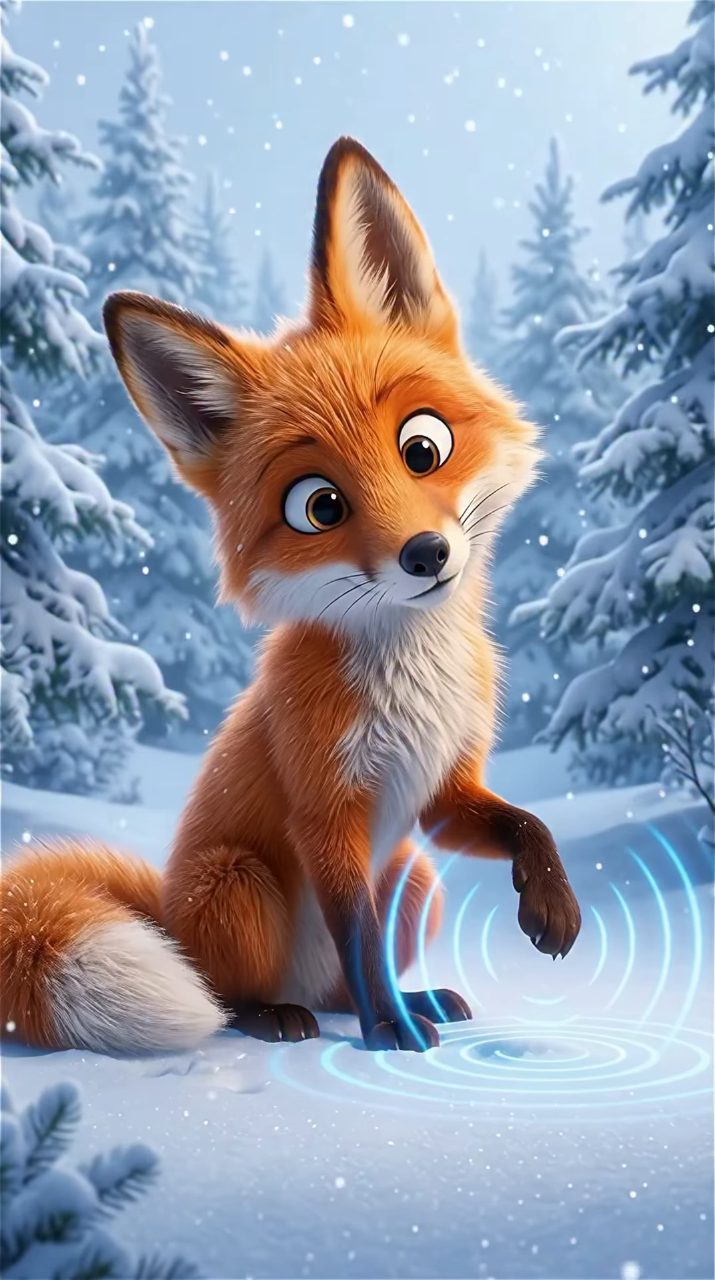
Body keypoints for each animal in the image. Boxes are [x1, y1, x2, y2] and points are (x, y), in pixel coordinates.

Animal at [1, 138, 581, 1055]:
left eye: (423, 447)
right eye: (319, 507)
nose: (426, 555)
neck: (409, 679)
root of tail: (163, 909)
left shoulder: (438, 798)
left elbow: (525, 822)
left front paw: (551, 905)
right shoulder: (326, 813)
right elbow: (355, 930)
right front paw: (392, 1035)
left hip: (417, 879)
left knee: (340, 977)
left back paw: (403, 999)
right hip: (240, 883)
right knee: (229, 990)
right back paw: (279, 1016)